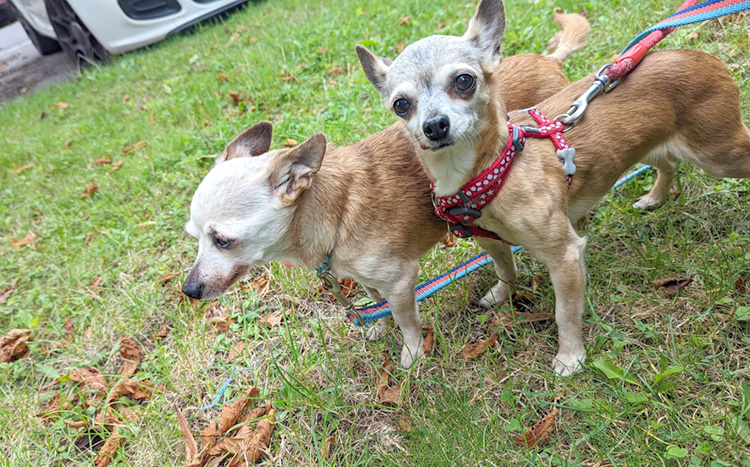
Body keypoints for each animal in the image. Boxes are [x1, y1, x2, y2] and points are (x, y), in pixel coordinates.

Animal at [184, 12, 592, 370]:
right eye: (195, 238)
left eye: (222, 240)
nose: (188, 290)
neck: (336, 211)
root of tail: (547, 58)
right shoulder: (370, 282)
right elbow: (374, 302)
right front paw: (378, 328)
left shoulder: (400, 283)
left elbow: (406, 322)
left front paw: (412, 355)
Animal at [356, 0, 750, 374]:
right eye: (401, 104)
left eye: (464, 81)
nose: (434, 125)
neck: (493, 169)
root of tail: (699, 55)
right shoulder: (490, 241)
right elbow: (505, 270)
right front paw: (501, 295)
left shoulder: (565, 256)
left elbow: (565, 313)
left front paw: (570, 358)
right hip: (649, 146)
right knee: (668, 164)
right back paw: (654, 197)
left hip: (719, 155)